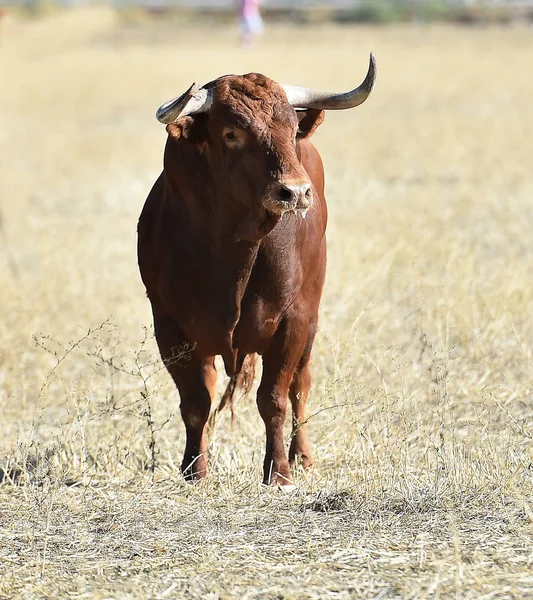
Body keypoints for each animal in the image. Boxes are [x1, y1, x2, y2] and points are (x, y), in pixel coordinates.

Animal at [139, 55, 376, 488]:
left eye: (291, 128)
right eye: (231, 133)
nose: (295, 192)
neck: (231, 252)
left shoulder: (293, 321)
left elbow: (274, 399)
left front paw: (278, 471)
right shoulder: (170, 326)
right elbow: (195, 402)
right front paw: (194, 470)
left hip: (311, 321)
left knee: (301, 386)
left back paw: (302, 455)